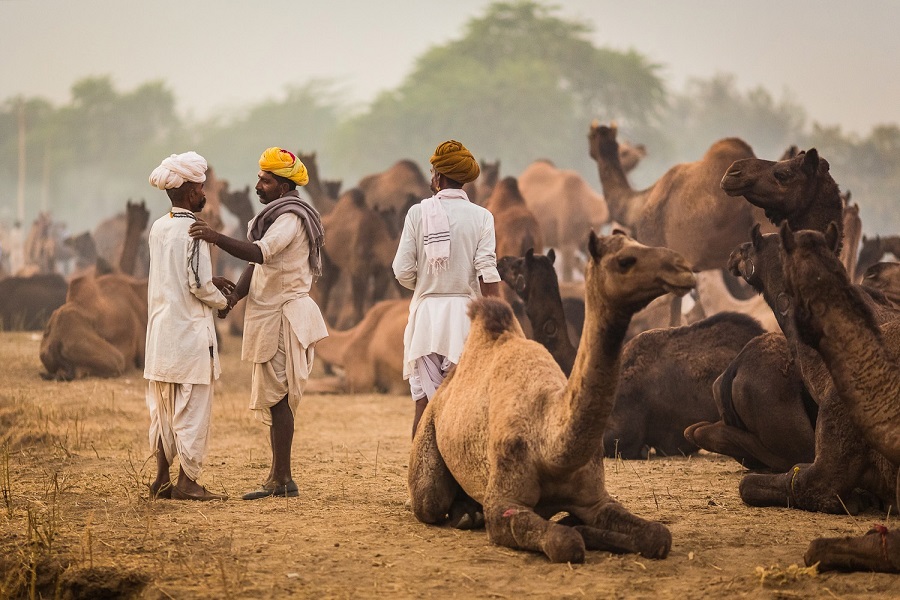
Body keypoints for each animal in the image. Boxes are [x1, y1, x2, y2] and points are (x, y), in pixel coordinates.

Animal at [408, 230, 696, 564]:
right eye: (625, 261)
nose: (683, 267)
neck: (548, 442)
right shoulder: (503, 503)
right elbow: (564, 542)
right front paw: (575, 531)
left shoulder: (596, 499)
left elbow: (657, 535)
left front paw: (582, 525)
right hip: (428, 455)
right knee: (431, 501)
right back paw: (465, 515)